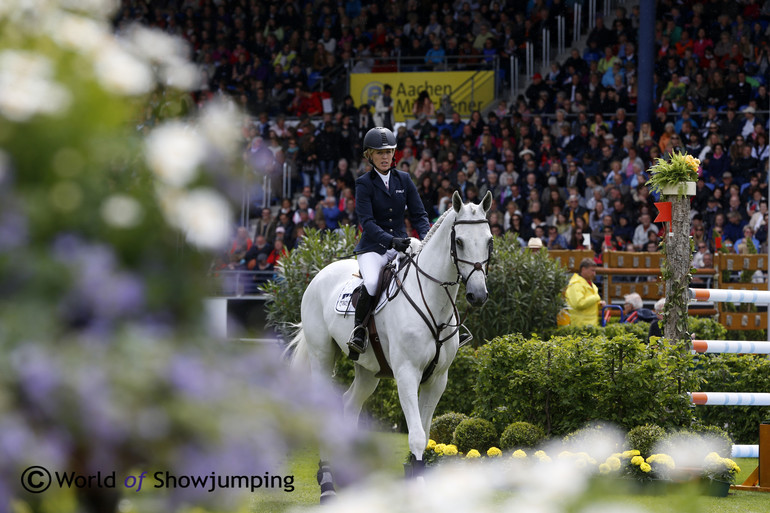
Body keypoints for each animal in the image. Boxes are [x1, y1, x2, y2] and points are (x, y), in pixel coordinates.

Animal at [288, 190, 492, 498]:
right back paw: (327, 484)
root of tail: (321, 274)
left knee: (350, 403)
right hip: (321, 356)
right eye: (459, 241)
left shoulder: (438, 379)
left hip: (368, 371)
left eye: (489, 240)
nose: (478, 295)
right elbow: (417, 436)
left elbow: (426, 433)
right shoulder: (407, 373)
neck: (432, 299)